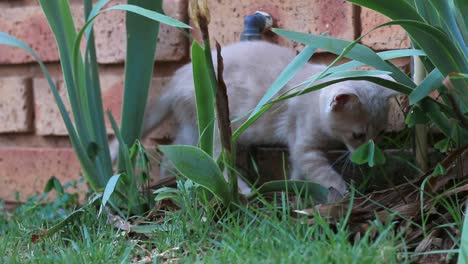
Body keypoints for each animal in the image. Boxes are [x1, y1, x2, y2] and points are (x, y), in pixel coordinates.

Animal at [111, 40, 396, 195]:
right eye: (358, 135)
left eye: (381, 133)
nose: (369, 153)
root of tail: (175, 78)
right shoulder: (304, 146)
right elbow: (322, 173)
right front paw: (345, 193)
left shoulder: (300, 152)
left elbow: (297, 170)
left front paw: (293, 189)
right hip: (218, 129)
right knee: (217, 162)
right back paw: (244, 191)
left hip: (192, 127)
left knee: (174, 153)